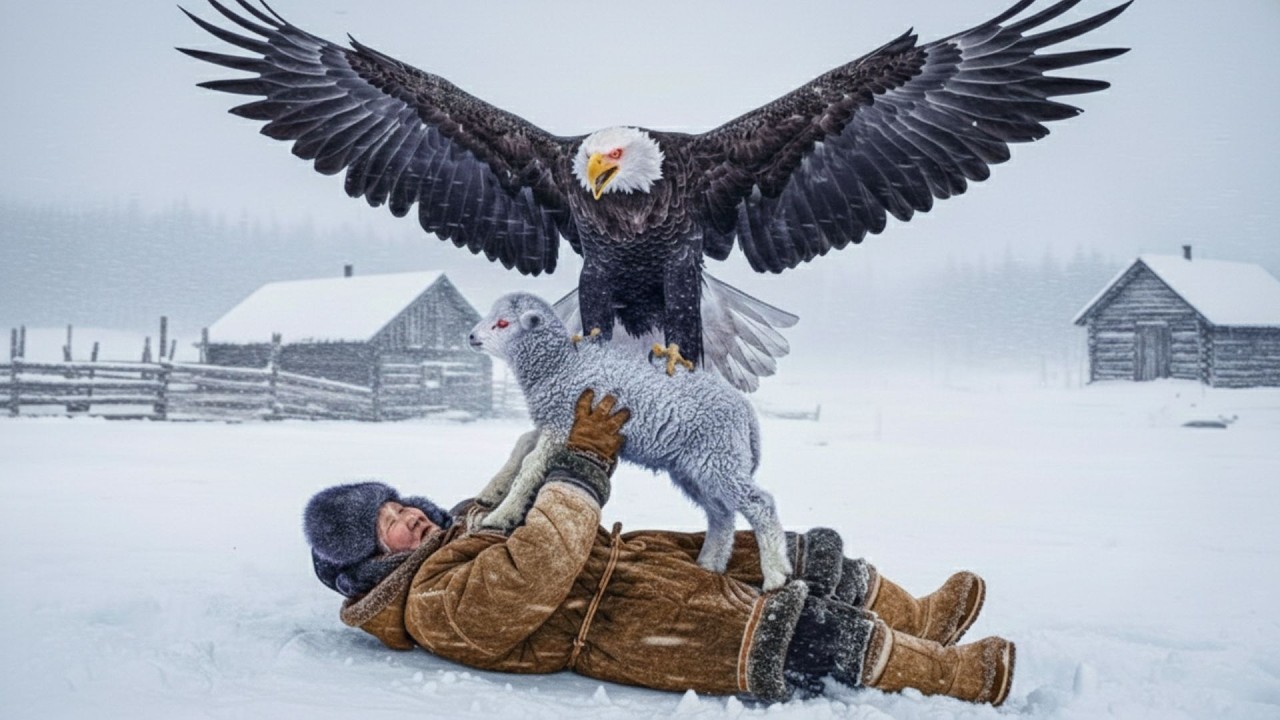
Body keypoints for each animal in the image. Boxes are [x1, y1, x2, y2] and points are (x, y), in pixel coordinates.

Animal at [466, 292, 792, 591]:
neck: (560, 366)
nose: (471, 337)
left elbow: (531, 466)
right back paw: (710, 564)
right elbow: (522, 446)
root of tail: (747, 413)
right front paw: (493, 492)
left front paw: (501, 514)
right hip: (696, 467)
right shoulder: (555, 421)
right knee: (722, 515)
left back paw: (776, 574)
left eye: (502, 323)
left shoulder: (560, 424)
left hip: (719, 457)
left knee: (760, 504)